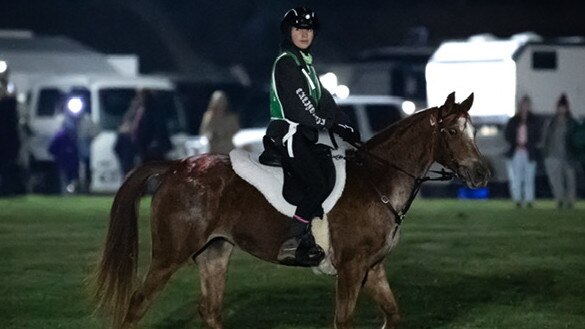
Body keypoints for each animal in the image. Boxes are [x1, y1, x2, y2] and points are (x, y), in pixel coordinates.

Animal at [93, 92, 490, 328]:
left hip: (214, 252)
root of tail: (176, 167)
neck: (377, 180)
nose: (481, 174)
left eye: (473, 131)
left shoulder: (373, 268)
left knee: (210, 310)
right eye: (452, 132)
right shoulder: (352, 269)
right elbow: (344, 321)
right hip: (169, 255)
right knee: (138, 303)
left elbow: (392, 315)